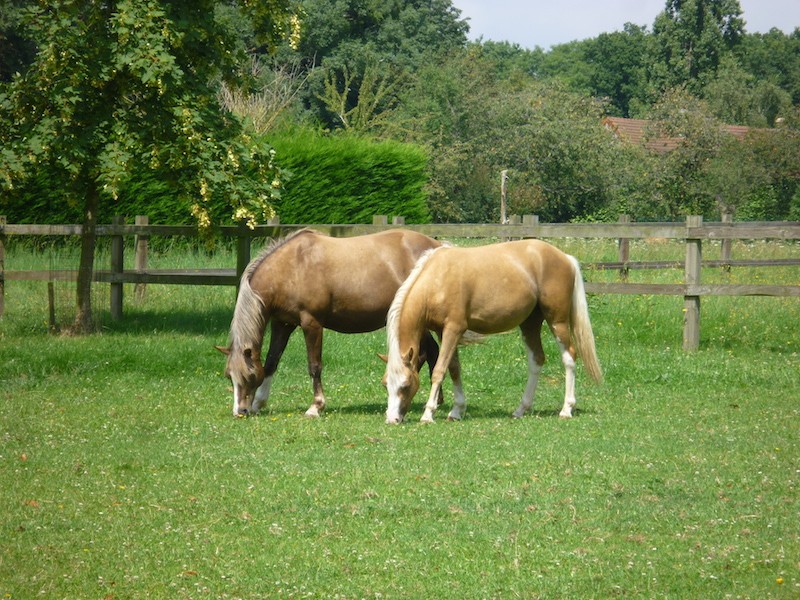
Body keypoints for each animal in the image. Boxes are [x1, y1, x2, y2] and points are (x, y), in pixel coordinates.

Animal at [217, 227, 444, 420]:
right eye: (229, 376)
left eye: (249, 375)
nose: (240, 411)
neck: (290, 268)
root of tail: (437, 246)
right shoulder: (282, 324)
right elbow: (272, 362)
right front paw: (259, 403)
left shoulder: (311, 324)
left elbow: (314, 366)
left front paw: (315, 407)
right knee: (431, 352)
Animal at [384, 237, 604, 424]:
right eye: (386, 384)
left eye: (405, 385)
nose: (392, 419)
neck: (437, 279)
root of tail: (565, 257)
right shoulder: (442, 331)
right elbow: (454, 368)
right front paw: (457, 411)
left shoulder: (454, 329)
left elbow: (439, 370)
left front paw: (428, 414)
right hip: (530, 323)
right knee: (537, 360)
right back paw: (521, 409)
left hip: (557, 321)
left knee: (569, 357)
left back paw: (567, 409)